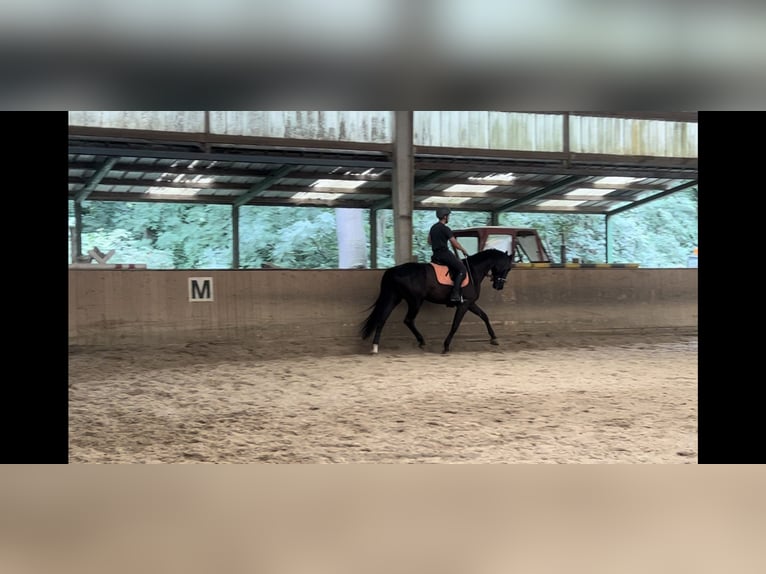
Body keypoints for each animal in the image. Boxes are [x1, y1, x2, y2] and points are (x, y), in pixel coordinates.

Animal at [362, 251, 516, 356]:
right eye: (507, 268)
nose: (499, 286)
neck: (473, 271)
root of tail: (393, 270)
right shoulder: (464, 304)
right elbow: (455, 325)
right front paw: (446, 346)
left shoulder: (470, 303)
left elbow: (484, 316)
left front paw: (494, 338)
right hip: (415, 301)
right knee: (408, 320)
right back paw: (421, 342)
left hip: (394, 298)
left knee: (381, 319)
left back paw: (375, 347)